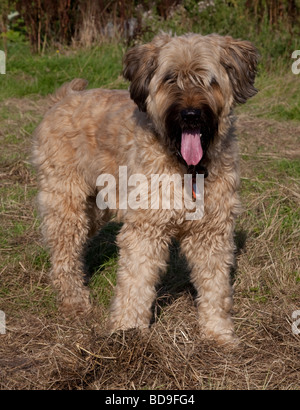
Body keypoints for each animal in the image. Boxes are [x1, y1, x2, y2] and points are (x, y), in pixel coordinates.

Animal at [32, 33, 258, 346]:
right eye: (170, 79)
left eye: (208, 80)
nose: (190, 115)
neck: (187, 167)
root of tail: (64, 97)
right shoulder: (146, 229)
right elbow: (136, 283)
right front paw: (127, 333)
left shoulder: (211, 231)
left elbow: (215, 286)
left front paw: (218, 333)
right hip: (67, 203)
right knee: (63, 251)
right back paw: (74, 300)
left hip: (96, 209)